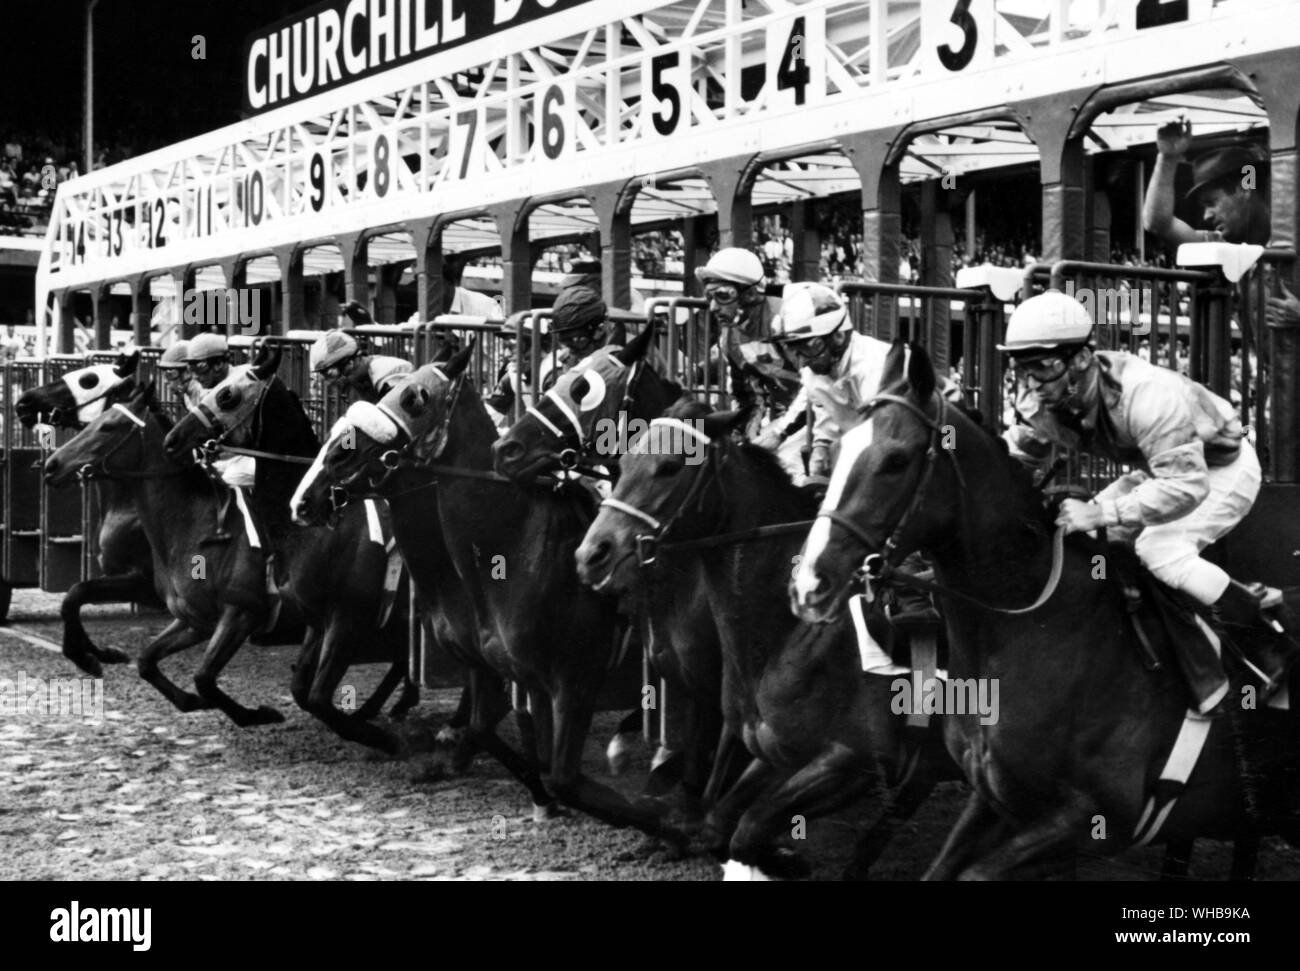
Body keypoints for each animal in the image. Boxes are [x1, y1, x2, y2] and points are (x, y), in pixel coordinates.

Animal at [15, 350, 156, 675]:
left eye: (88, 379)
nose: (23, 401)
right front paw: (101, 653)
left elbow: (74, 596)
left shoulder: (145, 582)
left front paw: (89, 656)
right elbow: (75, 597)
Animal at [159, 348, 416, 753]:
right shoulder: (316, 618)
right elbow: (301, 691)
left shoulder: (345, 618)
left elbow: (317, 698)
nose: (172, 439)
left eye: (227, 396)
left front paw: (381, 740)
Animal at [785, 340, 1294, 878]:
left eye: (896, 460)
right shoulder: (994, 798)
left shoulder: (1092, 819)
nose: (809, 582)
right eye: (837, 448)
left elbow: (977, 872)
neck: (1037, 622)